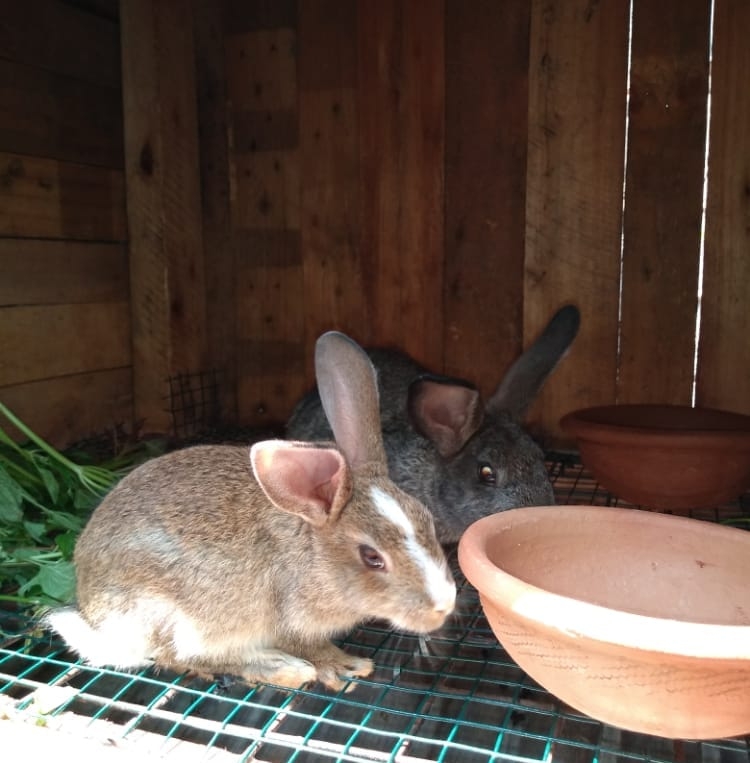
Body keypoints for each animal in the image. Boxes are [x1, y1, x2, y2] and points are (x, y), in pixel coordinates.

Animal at [45, 332, 456, 692]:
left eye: (427, 521)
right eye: (372, 557)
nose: (445, 605)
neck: (313, 553)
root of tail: (96, 618)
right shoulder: (291, 622)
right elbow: (312, 648)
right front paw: (346, 666)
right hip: (175, 617)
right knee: (181, 657)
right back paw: (282, 668)